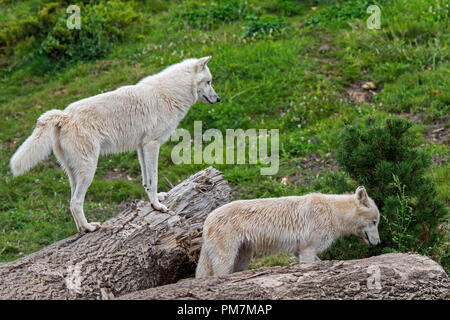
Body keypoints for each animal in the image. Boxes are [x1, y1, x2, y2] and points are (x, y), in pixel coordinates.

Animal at [9, 56, 221, 232]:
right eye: (209, 82)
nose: (218, 99)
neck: (170, 93)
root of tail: (64, 115)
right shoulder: (152, 145)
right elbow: (154, 178)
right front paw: (157, 206)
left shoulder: (141, 147)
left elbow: (146, 181)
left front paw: (155, 200)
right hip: (89, 170)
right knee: (76, 202)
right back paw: (90, 227)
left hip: (73, 172)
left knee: (70, 202)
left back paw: (82, 229)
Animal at [196, 186, 380, 278]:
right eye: (375, 222)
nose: (378, 242)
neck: (333, 212)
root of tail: (207, 220)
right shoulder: (307, 248)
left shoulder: (301, 250)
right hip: (226, 255)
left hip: (244, 255)